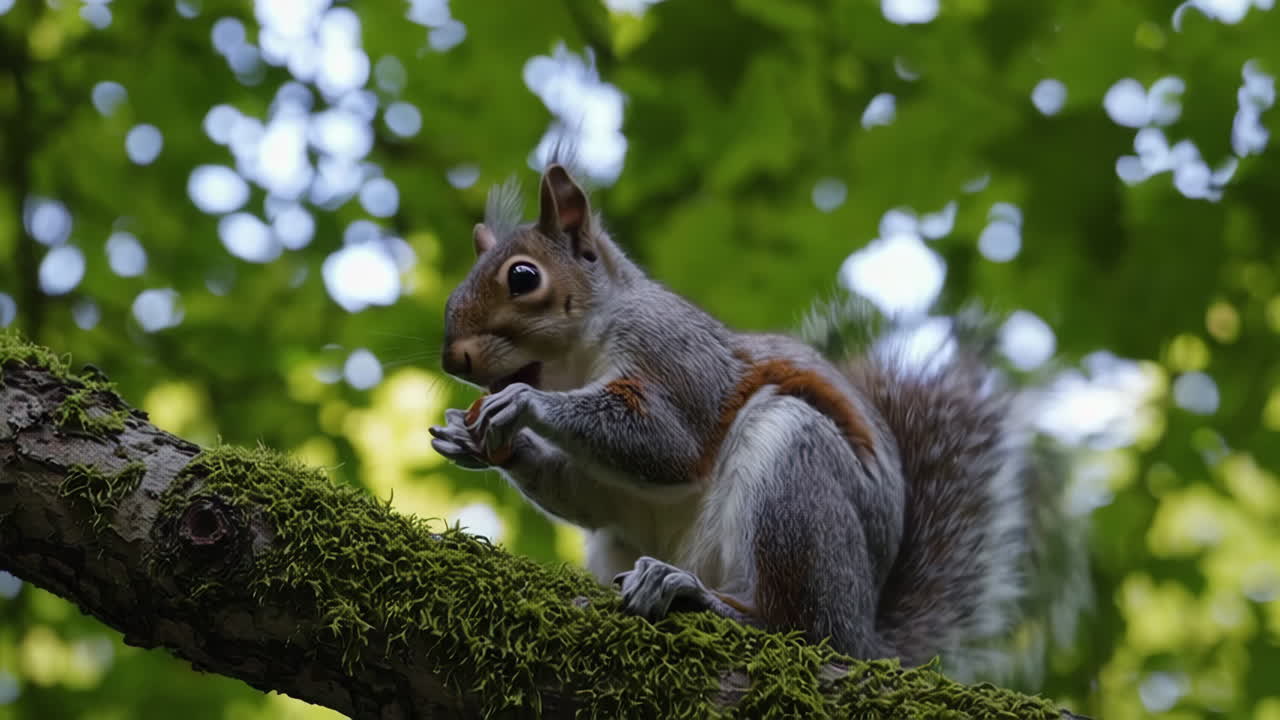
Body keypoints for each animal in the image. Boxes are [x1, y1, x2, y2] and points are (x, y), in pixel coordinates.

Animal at [429, 159, 1088, 685]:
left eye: (523, 277)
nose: (453, 359)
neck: (579, 359)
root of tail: (866, 636)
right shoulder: (608, 497)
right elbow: (587, 494)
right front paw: (474, 440)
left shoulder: (677, 359)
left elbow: (667, 444)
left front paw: (523, 405)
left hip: (795, 488)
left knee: (794, 626)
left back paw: (697, 596)